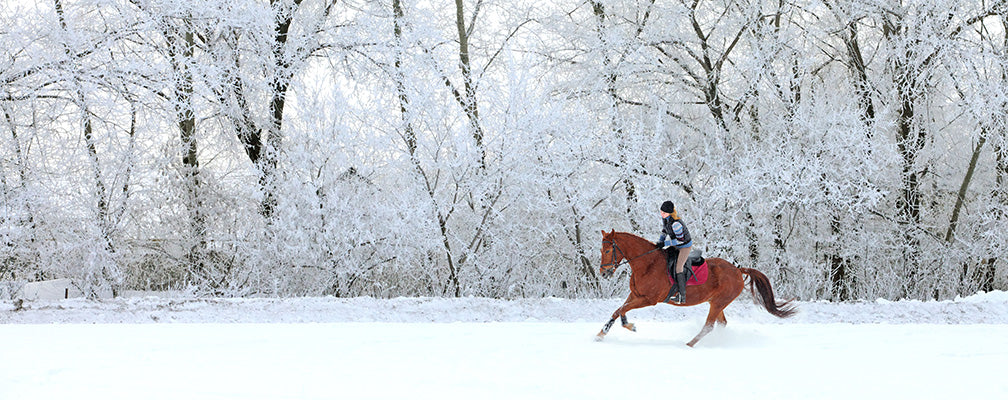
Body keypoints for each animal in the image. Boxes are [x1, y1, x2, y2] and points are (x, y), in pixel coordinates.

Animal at [597, 230, 796, 347]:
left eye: (607, 251)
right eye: (601, 250)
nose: (603, 273)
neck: (647, 263)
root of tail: (738, 270)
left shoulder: (648, 299)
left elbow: (621, 309)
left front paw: (623, 328)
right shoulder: (635, 295)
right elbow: (619, 310)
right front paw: (605, 332)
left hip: (719, 302)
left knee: (708, 326)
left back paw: (689, 344)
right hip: (717, 303)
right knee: (721, 323)